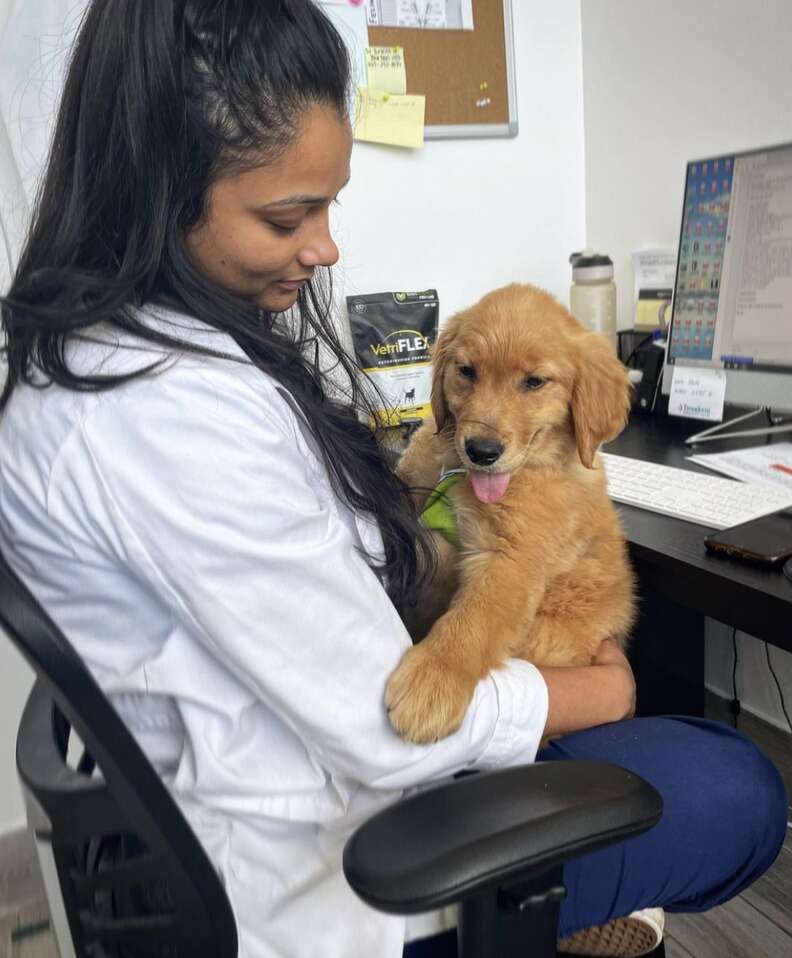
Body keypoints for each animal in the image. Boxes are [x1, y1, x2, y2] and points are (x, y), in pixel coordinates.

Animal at [386, 282, 636, 748]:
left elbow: (472, 621)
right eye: (467, 371)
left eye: (534, 382)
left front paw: (432, 681)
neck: (458, 472)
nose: (481, 451)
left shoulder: (514, 562)